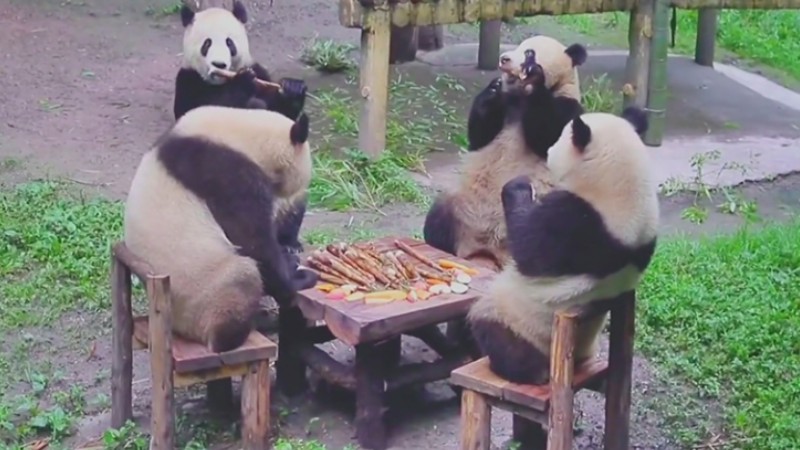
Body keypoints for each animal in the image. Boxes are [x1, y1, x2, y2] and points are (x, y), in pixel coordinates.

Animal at [123, 105, 319, 352]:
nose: (296, 205)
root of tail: (178, 326)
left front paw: (290, 254)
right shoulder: (222, 172)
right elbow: (252, 239)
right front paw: (298, 279)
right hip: (204, 288)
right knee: (240, 280)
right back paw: (243, 330)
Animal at [174, 1, 310, 254]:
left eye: (230, 43)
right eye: (206, 44)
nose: (219, 64)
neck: (221, 82)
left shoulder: (260, 73)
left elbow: (281, 115)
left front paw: (292, 89)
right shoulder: (188, 80)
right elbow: (197, 111)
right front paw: (243, 84)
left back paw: (290, 243)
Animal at [422, 35, 588, 270]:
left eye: (529, 52)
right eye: (519, 46)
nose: (504, 59)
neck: (518, 98)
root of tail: (489, 249)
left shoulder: (568, 108)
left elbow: (548, 134)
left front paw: (534, 77)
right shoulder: (504, 104)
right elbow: (480, 135)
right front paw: (493, 87)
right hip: (460, 206)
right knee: (438, 221)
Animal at [466, 106, 660, 385]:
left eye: (559, 138)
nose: (548, 151)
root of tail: (578, 357)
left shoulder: (576, 224)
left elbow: (528, 249)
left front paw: (518, 185)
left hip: (518, 320)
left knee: (498, 336)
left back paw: (524, 369)